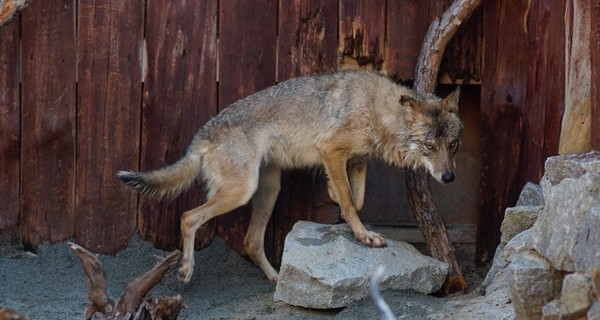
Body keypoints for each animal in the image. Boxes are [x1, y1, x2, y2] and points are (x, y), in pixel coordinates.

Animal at [118, 70, 464, 282]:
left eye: (452, 145)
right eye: (430, 146)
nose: (449, 177)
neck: (378, 111)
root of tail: (201, 134)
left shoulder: (356, 160)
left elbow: (357, 199)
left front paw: (338, 199)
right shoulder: (331, 150)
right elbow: (351, 202)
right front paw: (362, 235)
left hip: (268, 190)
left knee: (251, 242)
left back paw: (275, 279)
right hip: (240, 191)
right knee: (189, 217)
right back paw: (186, 270)